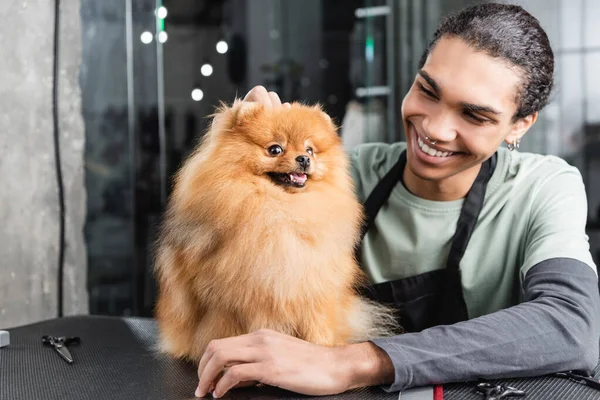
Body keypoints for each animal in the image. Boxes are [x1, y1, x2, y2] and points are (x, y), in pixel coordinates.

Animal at [155, 98, 398, 360]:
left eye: (310, 150)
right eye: (275, 149)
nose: (304, 159)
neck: (283, 212)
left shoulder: (315, 289)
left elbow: (318, 326)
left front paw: (321, 349)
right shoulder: (232, 301)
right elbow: (232, 331)